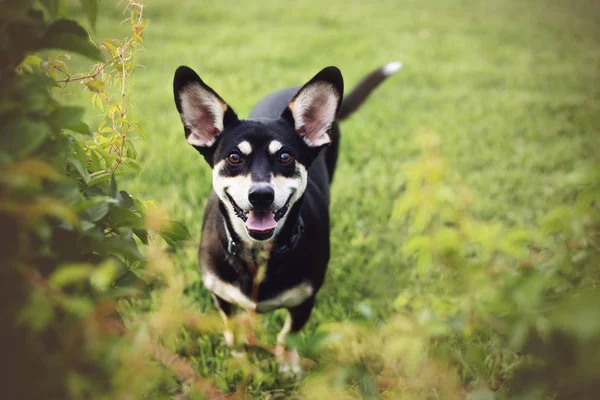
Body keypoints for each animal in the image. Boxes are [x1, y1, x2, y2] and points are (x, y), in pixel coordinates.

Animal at [171, 61, 400, 374]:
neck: (258, 254)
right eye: (234, 157)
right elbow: (233, 329)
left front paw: (287, 365)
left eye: (285, 157)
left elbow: (288, 334)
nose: (261, 195)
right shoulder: (221, 295)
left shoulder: (304, 301)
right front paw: (240, 361)